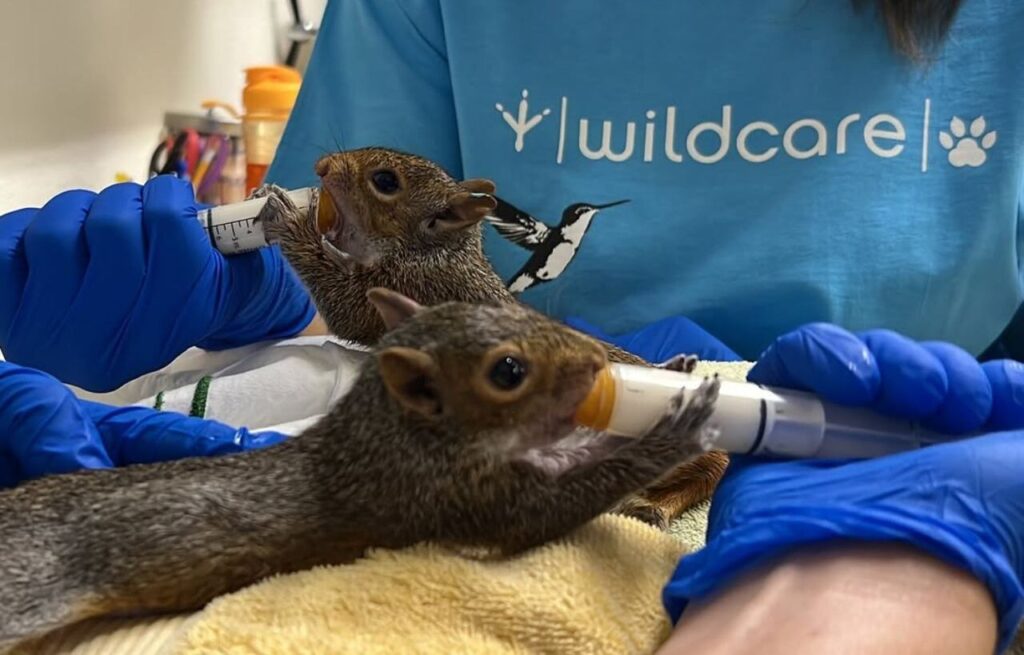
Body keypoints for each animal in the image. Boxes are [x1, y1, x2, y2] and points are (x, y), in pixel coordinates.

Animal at [0, 289, 720, 652]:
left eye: (525, 313)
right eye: (508, 371)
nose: (598, 365)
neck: (391, 432)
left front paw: (674, 374)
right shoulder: (452, 496)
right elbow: (555, 507)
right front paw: (673, 428)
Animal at [254, 148, 729, 527]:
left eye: (385, 181)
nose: (322, 166)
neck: (435, 251)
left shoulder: (413, 286)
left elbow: (346, 309)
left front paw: (290, 218)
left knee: (707, 470)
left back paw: (651, 505)